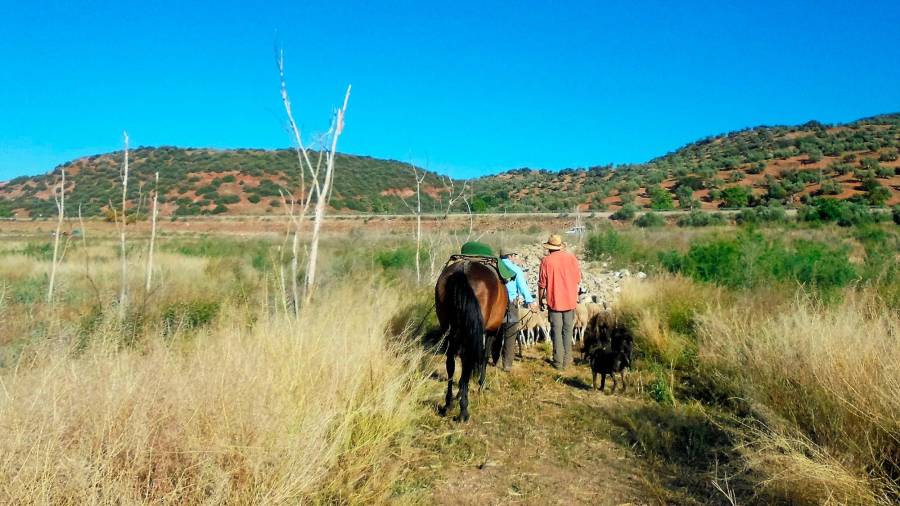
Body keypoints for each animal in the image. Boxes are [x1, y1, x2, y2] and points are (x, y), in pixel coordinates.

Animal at [434, 258, 506, 422]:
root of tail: (464, 269)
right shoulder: (490, 332)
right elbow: (484, 356)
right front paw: (481, 384)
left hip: (449, 329)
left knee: (451, 363)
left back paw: (448, 404)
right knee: (467, 361)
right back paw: (463, 410)